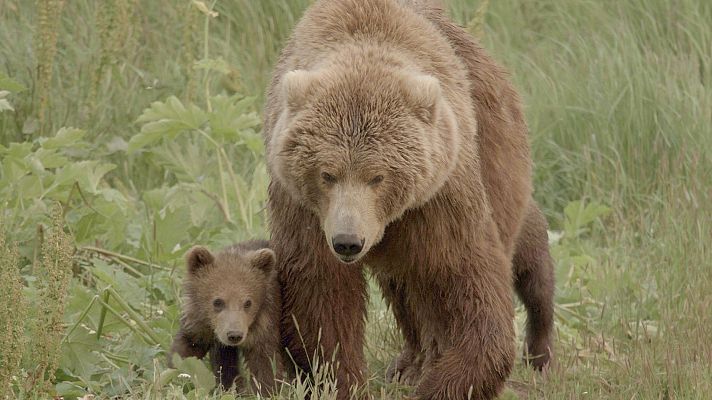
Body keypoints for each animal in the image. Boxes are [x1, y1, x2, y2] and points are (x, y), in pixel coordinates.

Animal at [168, 240, 284, 395]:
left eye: (248, 302)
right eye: (218, 301)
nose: (234, 335)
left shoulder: (265, 325)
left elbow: (265, 365)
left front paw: (264, 391)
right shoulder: (199, 322)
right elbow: (186, 349)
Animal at [262, 0, 554, 399]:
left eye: (378, 176)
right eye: (327, 173)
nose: (348, 242)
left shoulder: (439, 197)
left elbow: (468, 281)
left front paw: (446, 381)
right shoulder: (304, 209)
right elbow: (320, 295)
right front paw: (341, 379)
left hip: (500, 158)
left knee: (526, 250)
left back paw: (540, 348)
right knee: (403, 289)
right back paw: (410, 362)